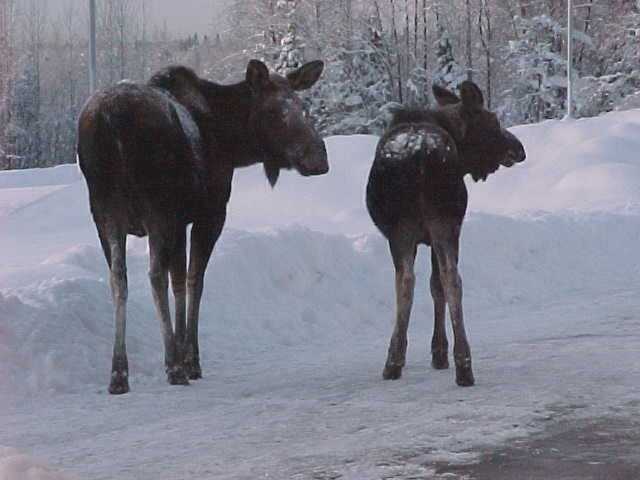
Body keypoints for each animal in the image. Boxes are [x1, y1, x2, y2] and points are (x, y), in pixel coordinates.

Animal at [79, 60, 330, 394]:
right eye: (274, 111)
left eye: (303, 108)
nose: (319, 159)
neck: (233, 145)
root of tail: (110, 121)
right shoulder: (207, 215)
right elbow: (193, 281)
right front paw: (190, 360)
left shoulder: (178, 221)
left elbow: (178, 281)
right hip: (155, 207)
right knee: (153, 276)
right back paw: (172, 366)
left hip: (104, 212)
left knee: (118, 278)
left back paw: (119, 373)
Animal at [364, 79, 524, 386]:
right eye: (494, 121)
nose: (520, 149)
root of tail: (421, 155)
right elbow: (437, 284)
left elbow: (432, 286)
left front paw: (437, 352)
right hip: (442, 224)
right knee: (451, 279)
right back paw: (463, 364)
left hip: (414, 228)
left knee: (410, 281)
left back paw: (397, 361)